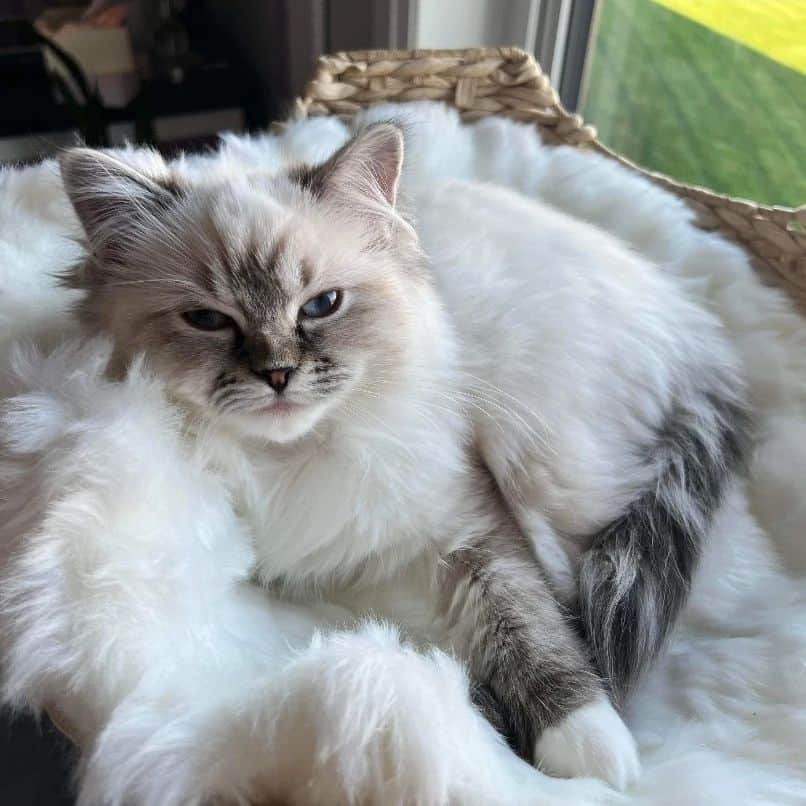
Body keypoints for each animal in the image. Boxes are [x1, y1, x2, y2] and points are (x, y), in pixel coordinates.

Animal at [61, 123, 752, 792]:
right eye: (207, 319)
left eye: (322, 306)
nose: (278, 375)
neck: (291, 460)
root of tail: (701, 330)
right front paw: (482, 712)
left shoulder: (470, 526)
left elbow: (531, 625)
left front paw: (590, 754)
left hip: (544, 463)